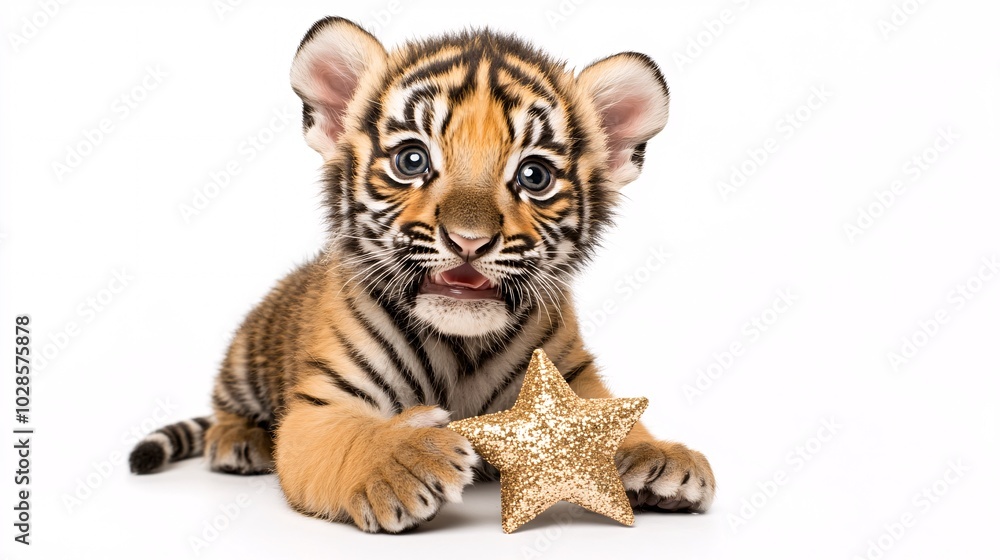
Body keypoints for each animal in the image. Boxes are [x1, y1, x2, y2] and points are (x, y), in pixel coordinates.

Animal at [128, 16, 716, 533]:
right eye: (412, 161)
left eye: (534, 176)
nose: (469, 240)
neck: (460, 347)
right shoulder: (319, 408)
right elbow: (348, 439)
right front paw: (404, 461)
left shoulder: (573, 378)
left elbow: (616, 421)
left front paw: (663, 457)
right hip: (245, 355)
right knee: (226, 406)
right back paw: (238, 441)